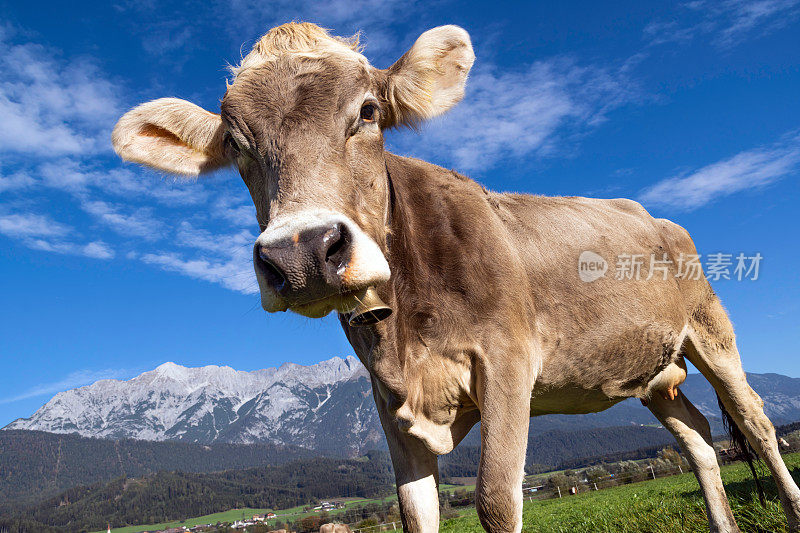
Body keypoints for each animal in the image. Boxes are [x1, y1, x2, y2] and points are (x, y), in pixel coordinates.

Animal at [112, 21, 800, 532]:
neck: (405, 332)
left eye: (367, 112)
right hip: (650, 370)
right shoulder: (389, 404)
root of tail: (653, 216)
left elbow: (496, 500)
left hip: (711, 332)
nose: (303, 252)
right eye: (236, 142)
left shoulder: (508, 362)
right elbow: (415, 515)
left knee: (759, 425)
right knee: (700, 439)